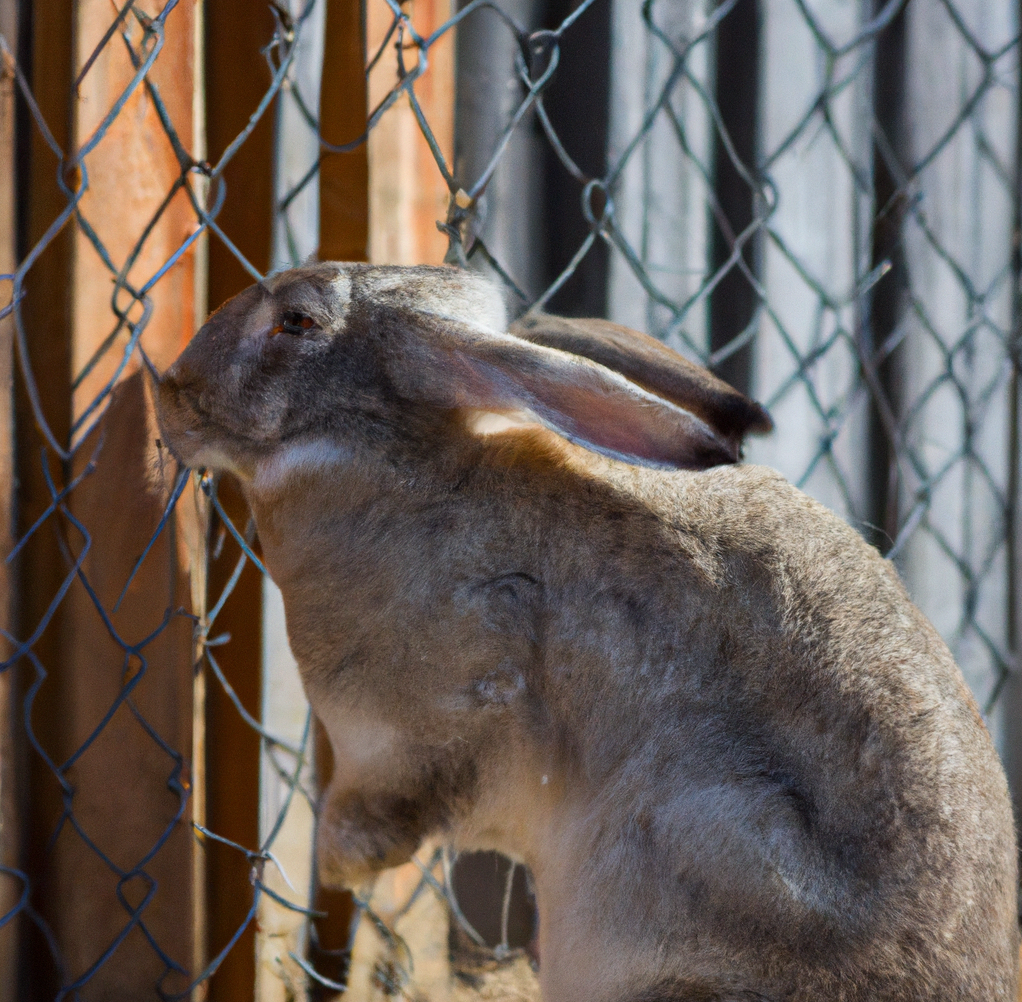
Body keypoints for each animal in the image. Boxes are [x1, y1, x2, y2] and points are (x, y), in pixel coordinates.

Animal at [155, 263, 1017, 1002]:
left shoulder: (418, 735)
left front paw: (335, 866)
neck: (389, 454)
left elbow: (386, 811)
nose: (171, 393)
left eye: (296, 321)